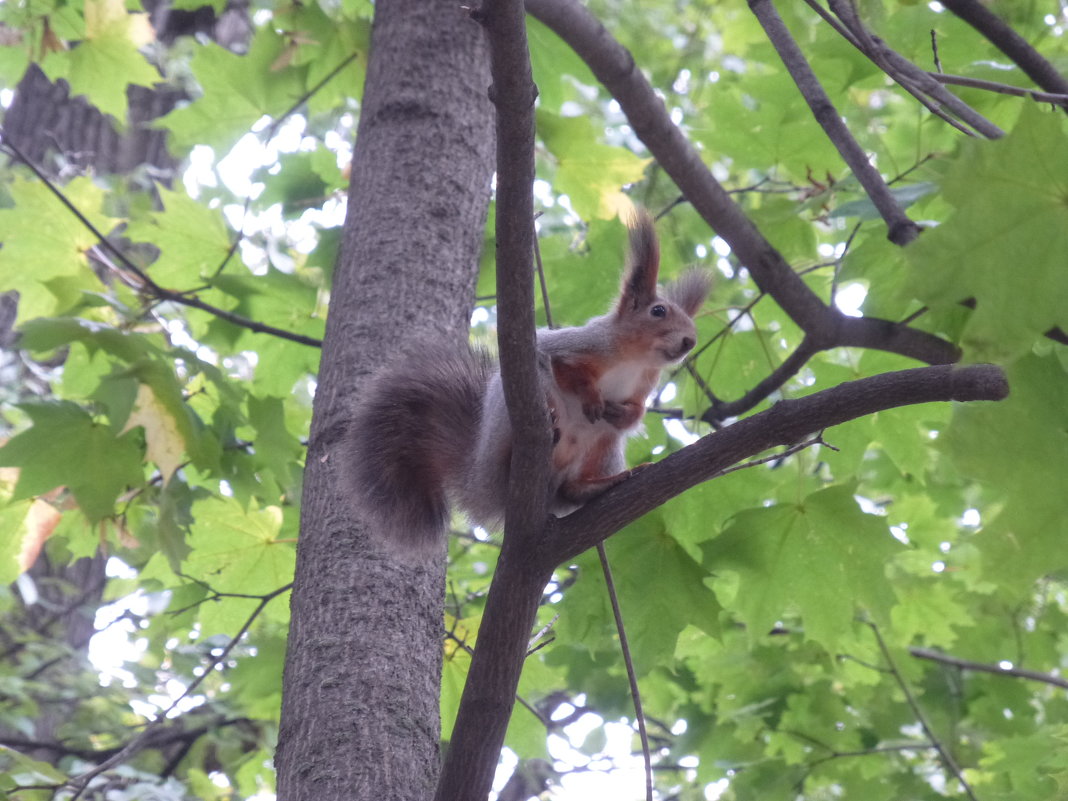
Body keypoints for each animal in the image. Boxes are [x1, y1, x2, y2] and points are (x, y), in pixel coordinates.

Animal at [341, 214, 709, 559]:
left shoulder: (645, 383)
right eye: (658, 311)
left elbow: (634, 413)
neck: (636, 359)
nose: (689, 341)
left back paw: (598, 485)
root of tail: (485, 487)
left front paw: (620, 413)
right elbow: (564, 369)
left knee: (573, 486)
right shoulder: (575, 346)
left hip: (604, 445)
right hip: (509, 419)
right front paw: (591, 399)